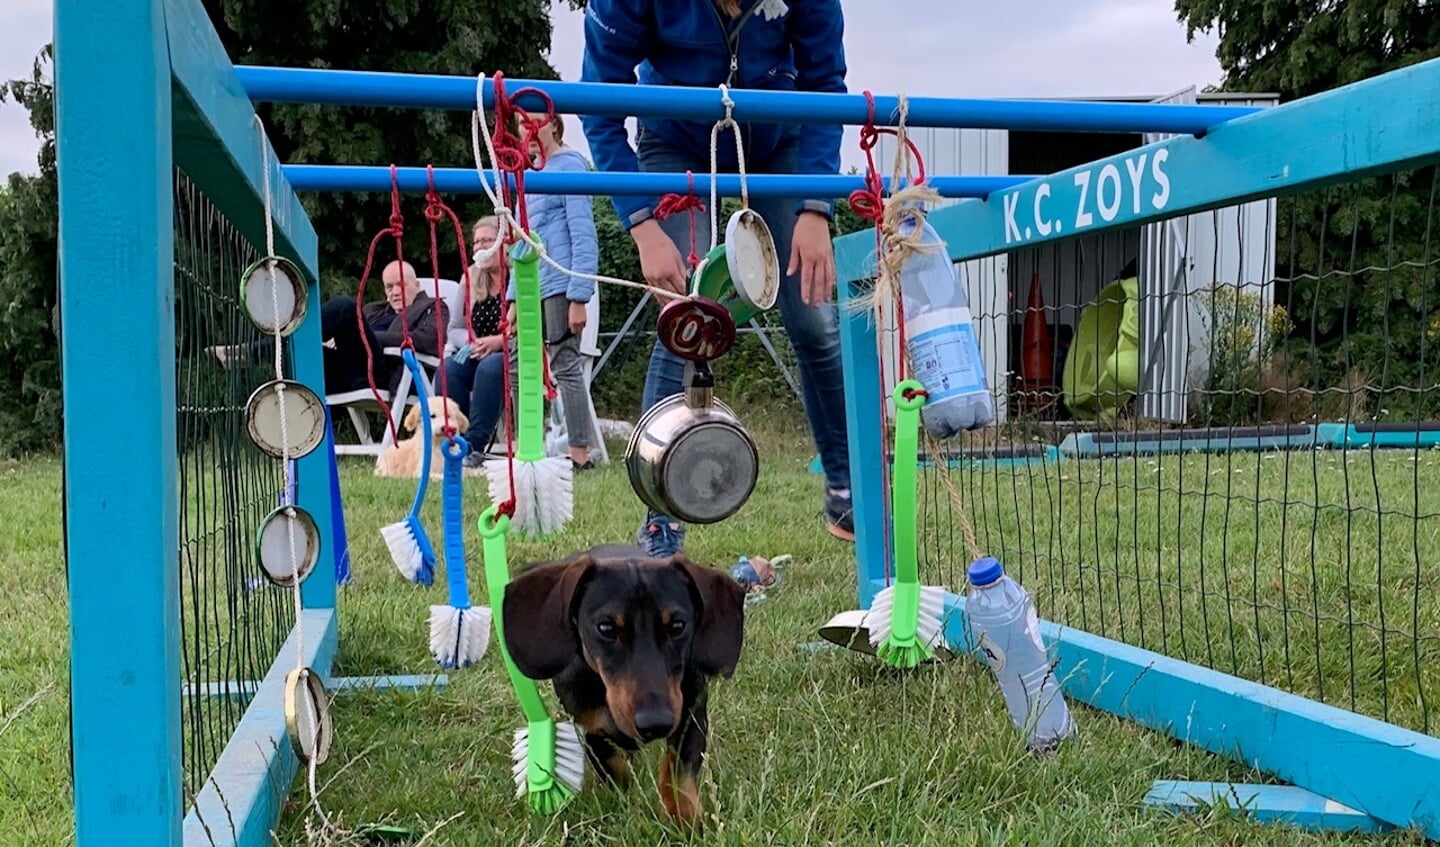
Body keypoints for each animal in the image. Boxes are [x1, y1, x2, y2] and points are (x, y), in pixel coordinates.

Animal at [504, 541, 748, 829]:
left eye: (678, 625)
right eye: (606, 628)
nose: (656, 723)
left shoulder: (691, 715)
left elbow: (677, 769)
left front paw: (683, 817)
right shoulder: (588, 725)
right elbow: (610, 764)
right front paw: (623, 792)